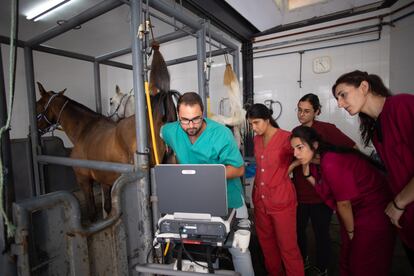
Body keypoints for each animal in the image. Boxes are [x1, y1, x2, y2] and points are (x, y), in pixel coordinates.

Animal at [35, 81, 178, 220]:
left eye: (38, 104)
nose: (35, 129)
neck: (84, 130)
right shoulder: (105, 179)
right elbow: (108, 208)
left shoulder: (84, 180)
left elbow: (92, 212)